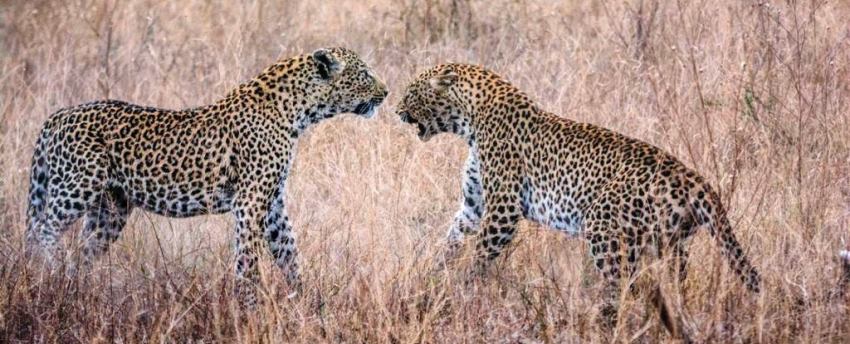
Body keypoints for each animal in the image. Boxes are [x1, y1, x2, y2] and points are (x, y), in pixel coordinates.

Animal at [23, 46, 388, 304]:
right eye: (365, 73)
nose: (385, 92)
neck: (300, 111)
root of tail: (57, 116)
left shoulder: (272, 203)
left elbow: (289, 251)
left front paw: (304, 299)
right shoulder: (249, 201)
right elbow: (248, 258)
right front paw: (249, 306)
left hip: (110, 209)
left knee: (83, 250)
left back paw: (77, 288)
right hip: (77, 186)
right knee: (42, 231)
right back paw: (48, 276)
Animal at [394, 62, 760, 334]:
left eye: (412, 93)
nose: (396, 110)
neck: (470, 121)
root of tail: (693, 179)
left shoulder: (503, 210)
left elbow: (481, 255)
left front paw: (462, 288)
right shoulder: (474, 205)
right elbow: (452, 237)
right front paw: (434, 271)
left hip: (606, 231)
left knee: (624, 289)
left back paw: (604, 321)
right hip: (669, 244)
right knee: (672, 285)